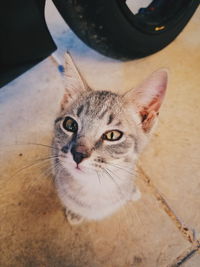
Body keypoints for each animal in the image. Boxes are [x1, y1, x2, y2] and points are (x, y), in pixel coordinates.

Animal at [52, 51, 167, 225]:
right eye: (70, 124)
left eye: (112, 135)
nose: (78, 154)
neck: (96, 187)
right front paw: (75, 213)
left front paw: (130, 190)